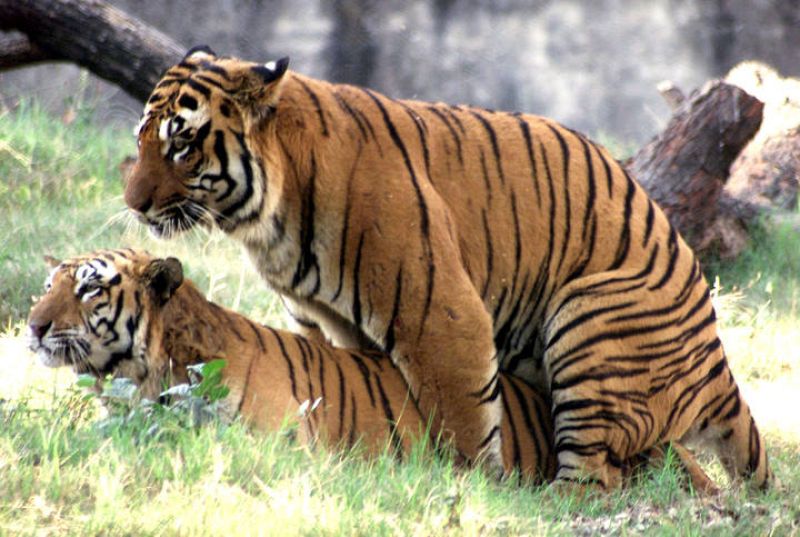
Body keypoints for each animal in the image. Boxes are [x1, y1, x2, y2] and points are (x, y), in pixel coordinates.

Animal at [123, 46, 772, 489]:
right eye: (142, 141)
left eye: (181, 144)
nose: (132, 203)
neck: (266, 221)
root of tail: (715, 359)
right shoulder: (335, 322)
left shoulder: (440, 315)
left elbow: (462, 415)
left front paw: (478, 487)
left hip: (589, 317)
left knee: (597, 478)